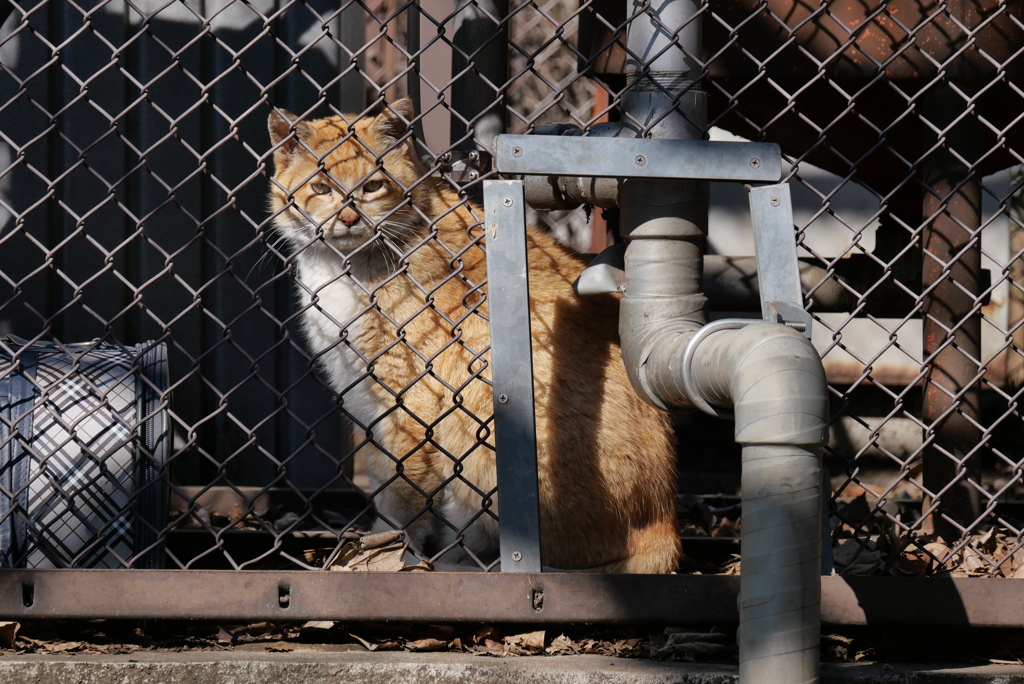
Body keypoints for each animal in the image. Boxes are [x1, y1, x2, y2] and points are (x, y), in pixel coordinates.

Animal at [268, 100, 679, 573]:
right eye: (320, 187)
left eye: (372, 186)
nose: (348, 217)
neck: (341, 264)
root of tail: (665, 522)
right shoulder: (363, 394)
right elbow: (382, 475)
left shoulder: (407, 398)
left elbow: (402, 492)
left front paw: (388, 553)